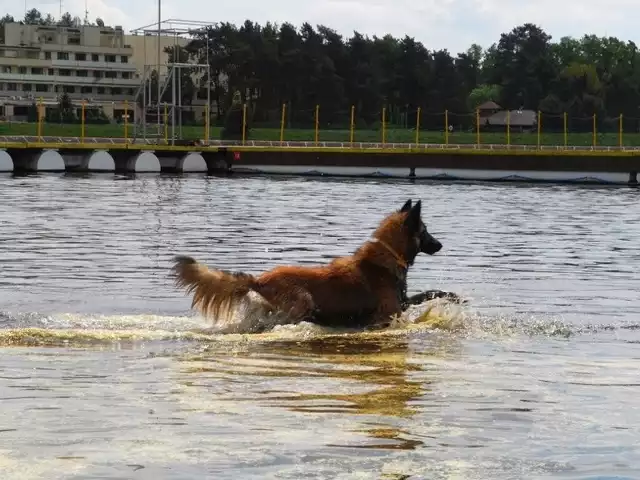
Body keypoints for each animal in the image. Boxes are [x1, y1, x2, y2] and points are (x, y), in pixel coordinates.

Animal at [170, 199, 460, 330]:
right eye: (425, 231)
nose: (440, 244)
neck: (386, 257)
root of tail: (259, 280)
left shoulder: (403, 303)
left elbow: (429, 293)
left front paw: (455, 297)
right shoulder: (391, 312)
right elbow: (427, 296)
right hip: (302, 300)